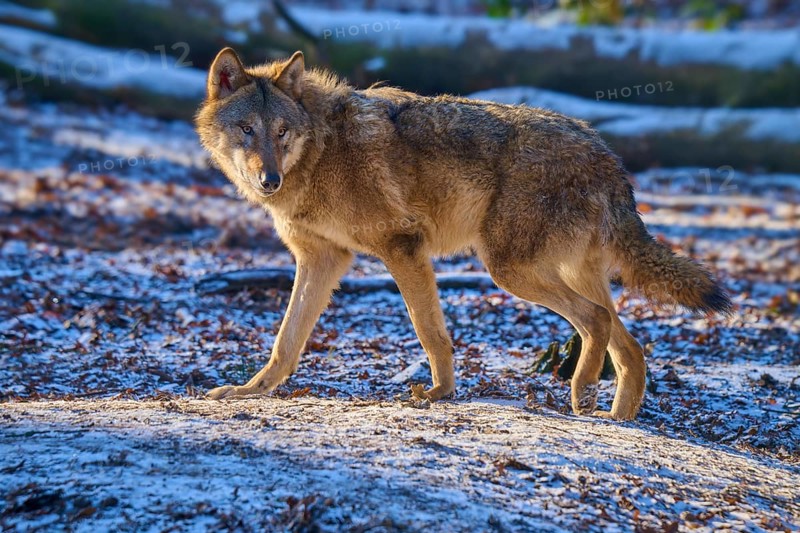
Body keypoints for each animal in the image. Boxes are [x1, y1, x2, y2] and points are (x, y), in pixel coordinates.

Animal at [194, 48, 731, 420]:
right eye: (247, 129)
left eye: (281, 131)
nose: (269, 180)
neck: (321, 152)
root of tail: (608, 156)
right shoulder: (322, 259)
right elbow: (285, 342)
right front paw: (250, 392)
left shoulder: (402, 248)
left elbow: (430, 332)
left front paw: (439, 394)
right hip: (565, 272)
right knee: (632, 347)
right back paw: (617, 418)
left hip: (508, 270)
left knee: (597, 321)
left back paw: (581, 395)